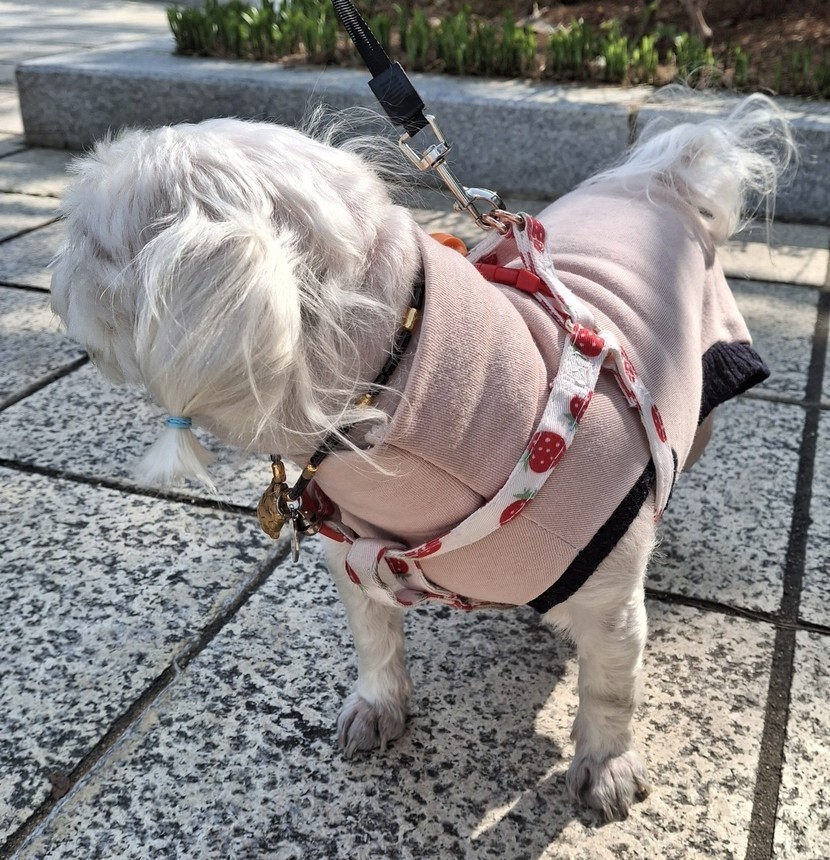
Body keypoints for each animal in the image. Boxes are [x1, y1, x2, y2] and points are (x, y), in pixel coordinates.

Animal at [51, 94, 793, 821]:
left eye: (88, 243)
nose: (53, 274)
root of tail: (663, 178)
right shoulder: (357, 556)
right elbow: (375, 642)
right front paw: (380, 707)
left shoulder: (608, 599)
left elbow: (610, 689)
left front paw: (606, 766)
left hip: (702, 396)